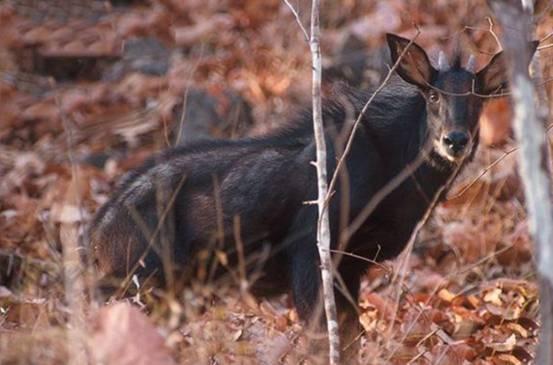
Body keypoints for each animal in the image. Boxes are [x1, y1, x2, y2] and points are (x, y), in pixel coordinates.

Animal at [88, 34, 532, 350]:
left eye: (478, 99)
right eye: (434, 95)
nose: (454, 140)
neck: (395, 179)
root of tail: (95, 237)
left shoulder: (352, 265)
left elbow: (350, 336)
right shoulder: (310, 253)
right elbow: (328, 338)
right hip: (143, 279)